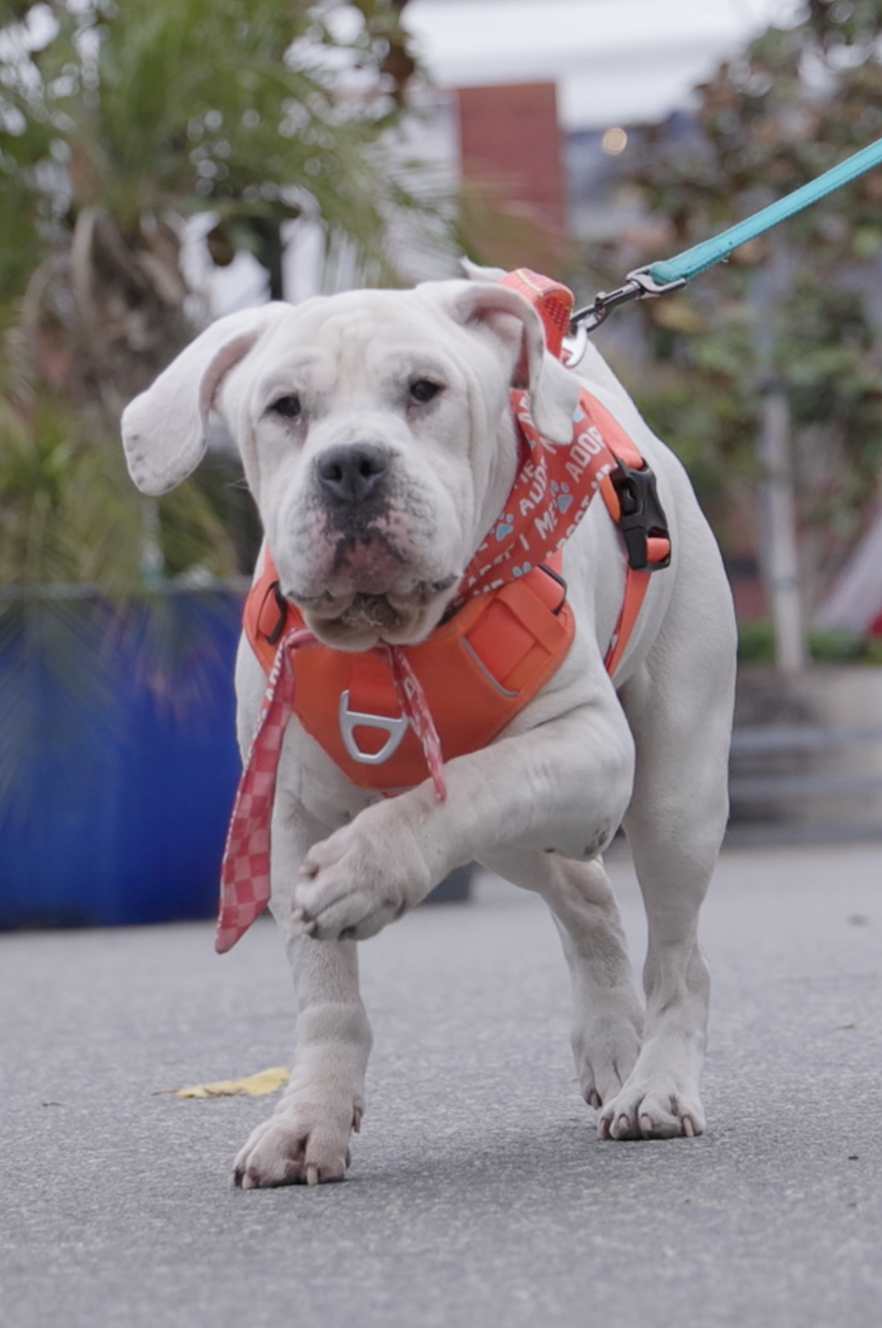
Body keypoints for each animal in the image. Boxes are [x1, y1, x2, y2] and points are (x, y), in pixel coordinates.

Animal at [118, 274, 738, 1189]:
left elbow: (463, 788)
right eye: (284, 407)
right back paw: (610, 1039)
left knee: (680, 955)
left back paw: (657, 1084)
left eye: (423, 391)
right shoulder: (287, 812)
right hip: (528, 841)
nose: (350, 464)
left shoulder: (587, 745)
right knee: (584, 890)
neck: (389, 636)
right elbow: (327, 992)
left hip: (673, 798)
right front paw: (309, 1117)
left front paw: (364, 873)